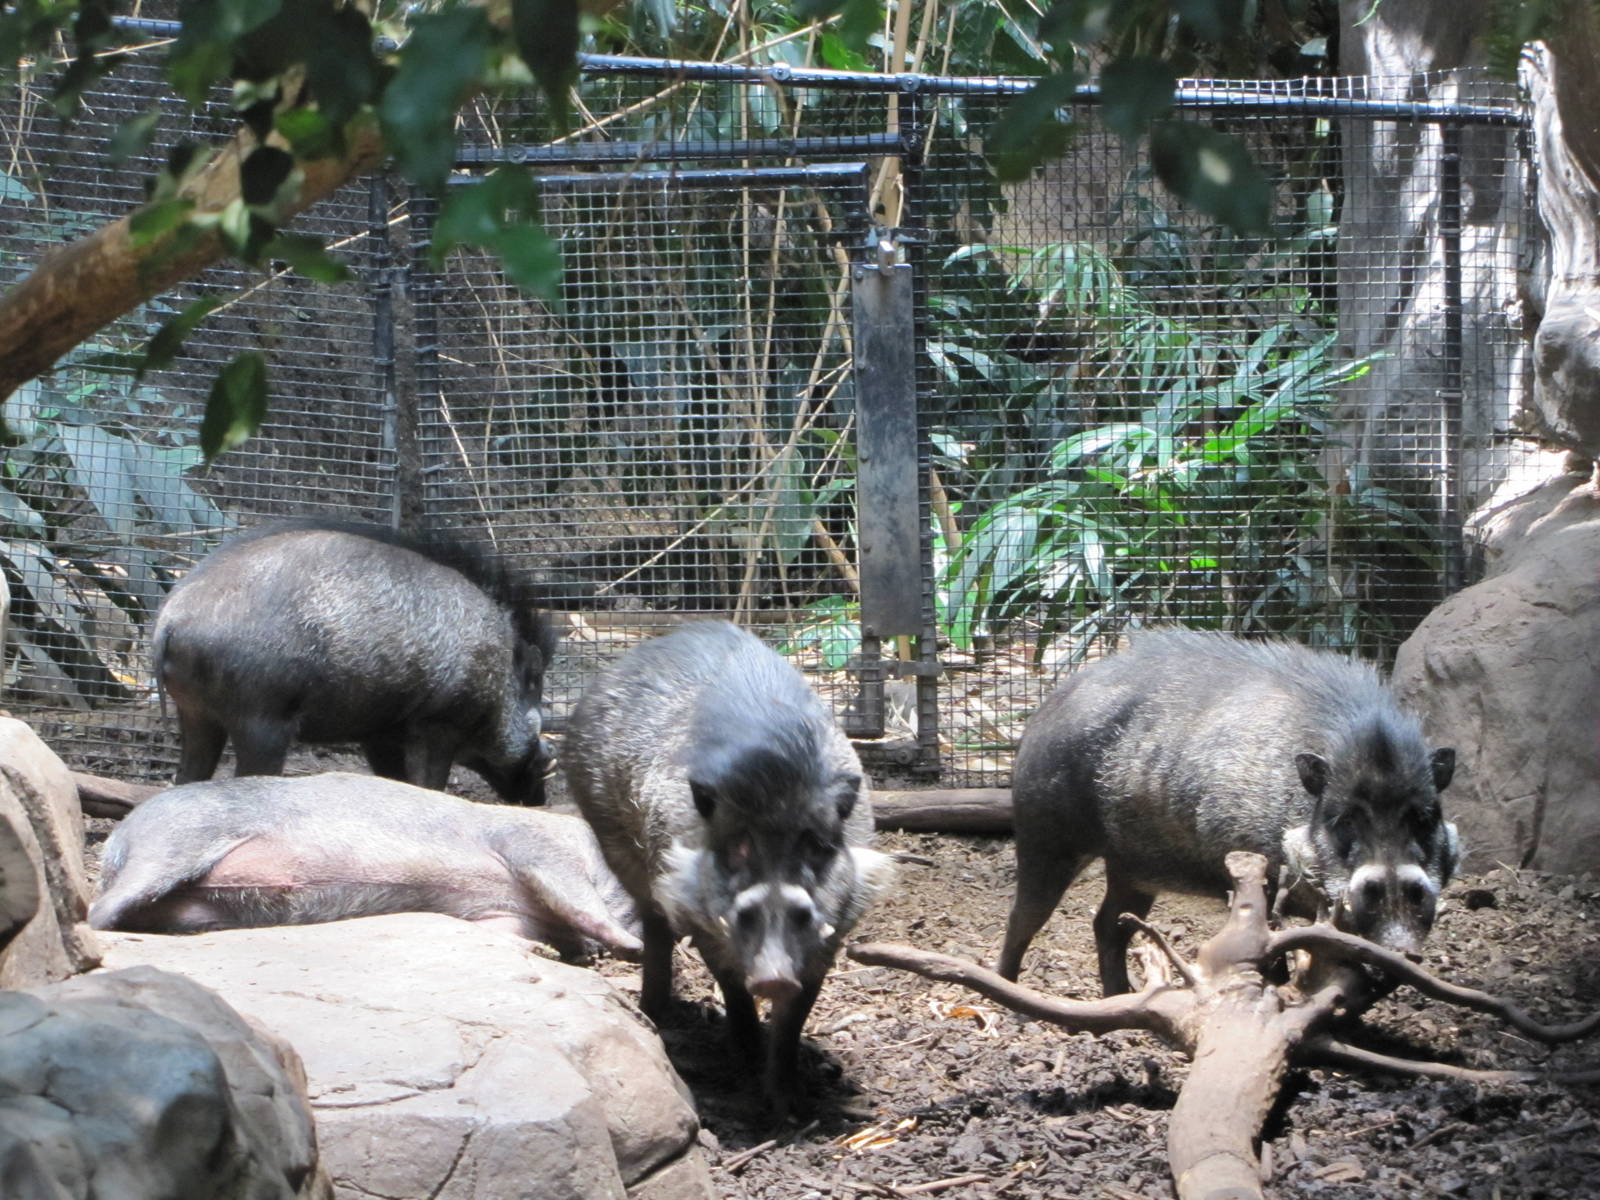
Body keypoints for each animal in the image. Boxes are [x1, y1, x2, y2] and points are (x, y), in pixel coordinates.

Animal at [89, 773, 642, 962]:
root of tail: (119, 838)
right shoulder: (530, 842)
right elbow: (569, 888)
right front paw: (623, 946)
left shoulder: (508, 914)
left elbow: (510, 930)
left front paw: (560, 950)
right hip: (176, 839)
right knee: (102, 909)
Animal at [152, 518, 556, 804]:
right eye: (534, 685)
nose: (538, 799)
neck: (498, 668)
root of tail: (169, 621)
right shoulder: (438, 725)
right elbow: (429, 784)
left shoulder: (380, 733)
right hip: (262, 722)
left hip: (196, 714)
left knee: (186, 780)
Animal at [563, 621, 892, 1115]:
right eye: (738, 844)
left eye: (815, 844)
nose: (774, 977)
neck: (774, 778)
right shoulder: (698, 912)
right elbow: (733, 988)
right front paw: (748, 1065)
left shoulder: (835, 929)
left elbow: (796, 1015)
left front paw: (788, 1104)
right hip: (613, 837)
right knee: (653, 924)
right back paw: (655, 1013)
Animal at [997, 627, 1460, 995]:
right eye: (1344, 818)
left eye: (1425, 817)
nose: (1401, 948)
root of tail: (1042, 711)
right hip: (1046, 837)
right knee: (1023, 918)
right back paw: (1010, 995)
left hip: (1131, 869)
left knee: (1108, 923)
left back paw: (1117, 998)